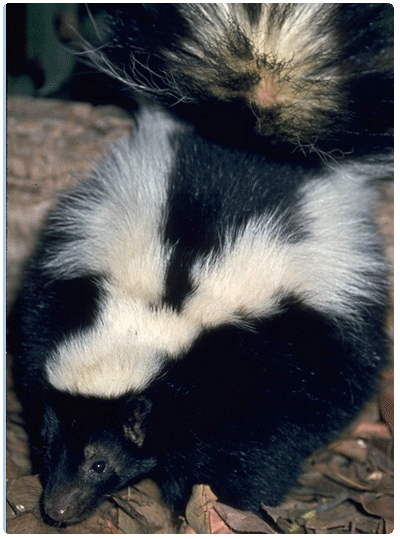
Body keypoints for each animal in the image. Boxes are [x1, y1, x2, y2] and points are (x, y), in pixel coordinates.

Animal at [8, 107, 390, 524]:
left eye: (100, 464)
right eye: (48, 446)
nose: (56, 509)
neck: (164, 312)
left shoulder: (254, 372)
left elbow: (255, 452)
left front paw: (219, 504)